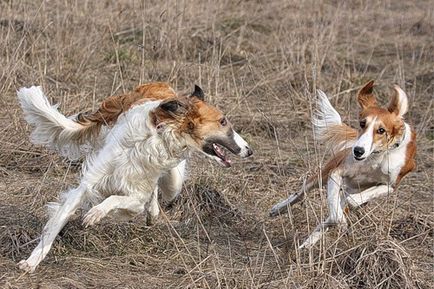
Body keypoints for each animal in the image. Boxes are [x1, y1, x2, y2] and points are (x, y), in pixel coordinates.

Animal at [17, 82, 251, 272]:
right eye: (222, 121)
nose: (249, 150)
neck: (158, 136)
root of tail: (162, 86)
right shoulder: (88, 185)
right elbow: (55, 224)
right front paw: (32, 261)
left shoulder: (136, 198)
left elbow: (115, 199)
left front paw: (95, 213)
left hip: (173, 182)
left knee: (158, 192)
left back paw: (152, 212)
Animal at [272, 80, 418, 248]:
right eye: (362, 123)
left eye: (381, 130)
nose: (358, 151)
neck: (375, 158)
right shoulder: (336, 172)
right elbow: (334, 207)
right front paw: (340, 221)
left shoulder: (391, 186)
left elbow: (351, 202)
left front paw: (341, 220)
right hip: (323, 175)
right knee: (301, 193)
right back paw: (279, 209)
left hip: (353, 187)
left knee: (333, 213)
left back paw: (308, 244)